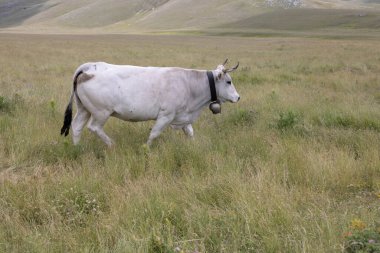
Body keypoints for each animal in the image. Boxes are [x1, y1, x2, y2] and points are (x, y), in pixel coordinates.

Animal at [61, 59, 240, 146]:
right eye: (229, 81)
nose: (238, 97)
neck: (189, 83)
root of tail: (88, 68)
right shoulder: (166, 116)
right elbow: (154, 133)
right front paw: (146, 148)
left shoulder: (183, 116)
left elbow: (190, 132)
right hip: (101, 112)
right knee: (94, 127)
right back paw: (111, 144)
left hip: (84, 109)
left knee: (76, 126)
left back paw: (77, 147)